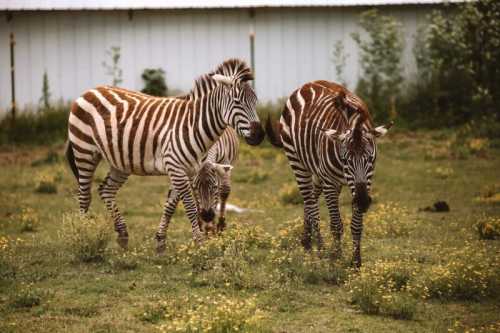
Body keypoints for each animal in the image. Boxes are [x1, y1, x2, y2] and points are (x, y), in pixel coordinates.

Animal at [65, 59, 266, 252]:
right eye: (237, 102)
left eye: (255, 101)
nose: (259, 135)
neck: (193, 125)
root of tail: (91, 90)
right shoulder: (176, 167)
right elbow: (190, 206)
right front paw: (200, 243)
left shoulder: (186, 169)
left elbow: (171, 205)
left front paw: (161, 242)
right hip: (84, 150)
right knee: (84, 196)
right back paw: (83, 237)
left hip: (121, 160)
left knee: (106, 190)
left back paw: (122, 235)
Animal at [268, 80, 392, 268]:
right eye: (346, 159)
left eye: (370, 159)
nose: (363, 202)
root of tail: (308, 84)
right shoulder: (331, 183)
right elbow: (336, 225)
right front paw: (336, 257)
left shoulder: (365, 181)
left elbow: (356, 225)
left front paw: (356, 262)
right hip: (298, 163)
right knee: (311, 205)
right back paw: (319, 249)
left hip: (319, 174)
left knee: (312, 197)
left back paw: (307, 241)